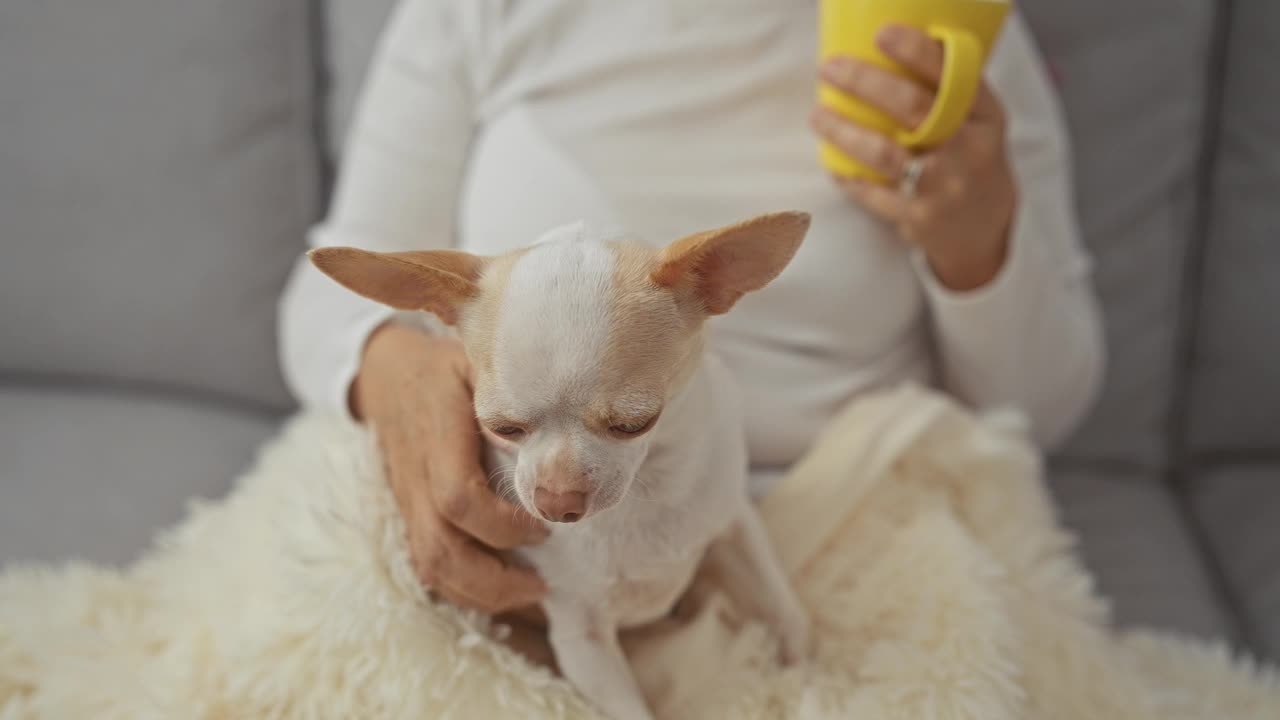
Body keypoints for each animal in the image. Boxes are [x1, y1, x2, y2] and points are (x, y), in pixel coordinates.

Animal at [309, 210, 808, 717]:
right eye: (500, 428)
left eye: (635, 424)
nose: (556, 502)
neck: (647, 493)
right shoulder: (583, 642)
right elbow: (630, 711)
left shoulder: (735, 520)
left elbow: (777, 596)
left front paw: (802, 668)